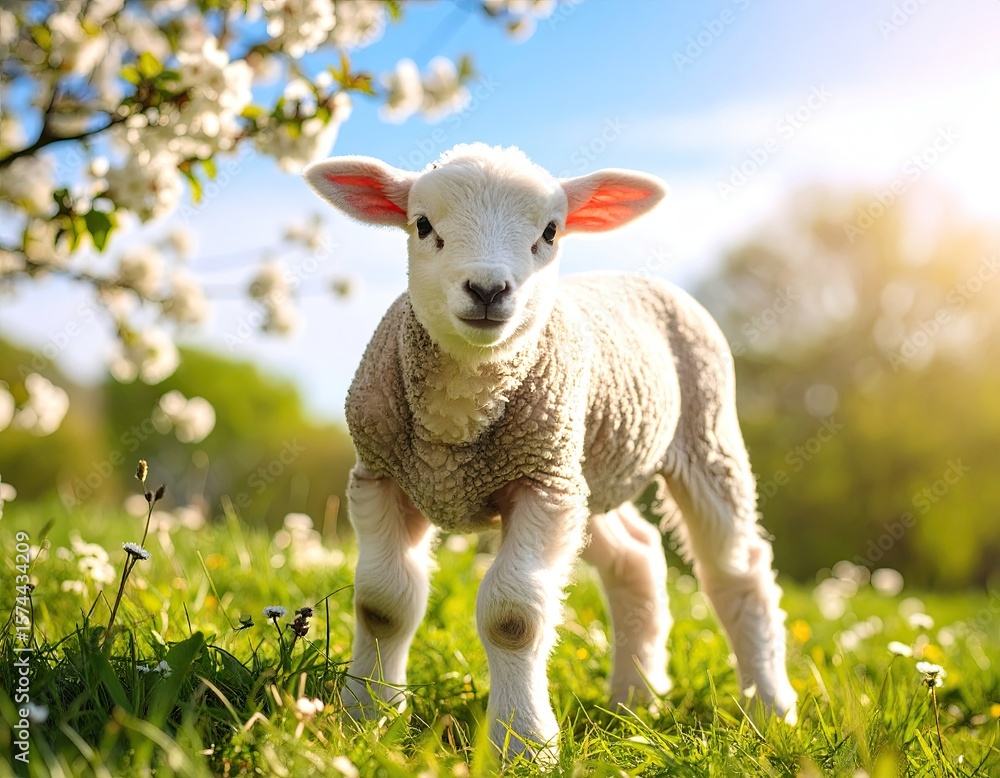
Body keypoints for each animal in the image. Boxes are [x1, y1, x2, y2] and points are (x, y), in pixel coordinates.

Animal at [303, 143, 797, 762]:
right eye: (422, 225)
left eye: (550, 231)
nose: (488, 290)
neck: (457, 426)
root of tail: (632, 276)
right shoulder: (383, 475)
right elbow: (383, 604)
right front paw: (366, 720)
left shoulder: (540, 485)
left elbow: (513, 618)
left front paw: (522, 743)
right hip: (584, 469)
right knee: (637, 556)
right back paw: (635, 700)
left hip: (700, 437)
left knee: (738, 570)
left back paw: (770, 708)